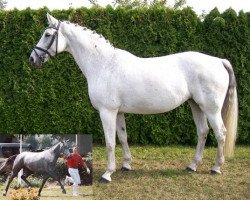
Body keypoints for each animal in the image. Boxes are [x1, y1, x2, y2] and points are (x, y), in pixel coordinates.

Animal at [29, 13, 238, 183]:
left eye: (47, 35)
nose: (32, 59)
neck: (103, 64)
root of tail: (219, 61)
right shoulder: (119, 112)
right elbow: (123, 137)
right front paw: (126, 165)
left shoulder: (107, 112)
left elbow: (110, 142)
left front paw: (107, 174)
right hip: (196, 105)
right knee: (203, 132)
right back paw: (192, 166)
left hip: (211, 109)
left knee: (220, 133)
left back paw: (216, 168)